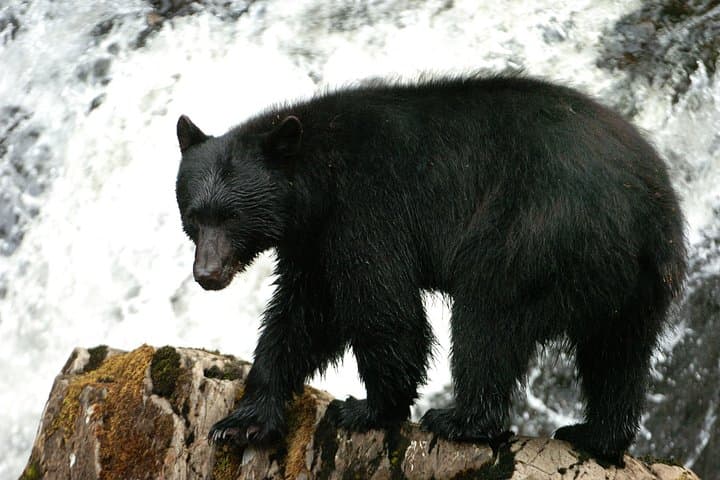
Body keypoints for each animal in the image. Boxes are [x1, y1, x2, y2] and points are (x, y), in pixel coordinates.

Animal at [174, 74, 686, 465]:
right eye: (195, 215)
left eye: (232, 216)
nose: (208, 274)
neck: (317, 180)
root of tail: (644, 211)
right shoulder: (312, 242)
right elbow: (302, 317)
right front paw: (242, 422)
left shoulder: (365, 211)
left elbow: (383, 307)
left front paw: (368, 409)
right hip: (641, 283)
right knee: (618, 355)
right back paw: (595, 434)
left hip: (534, 231)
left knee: (488, 319)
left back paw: (461, 420)